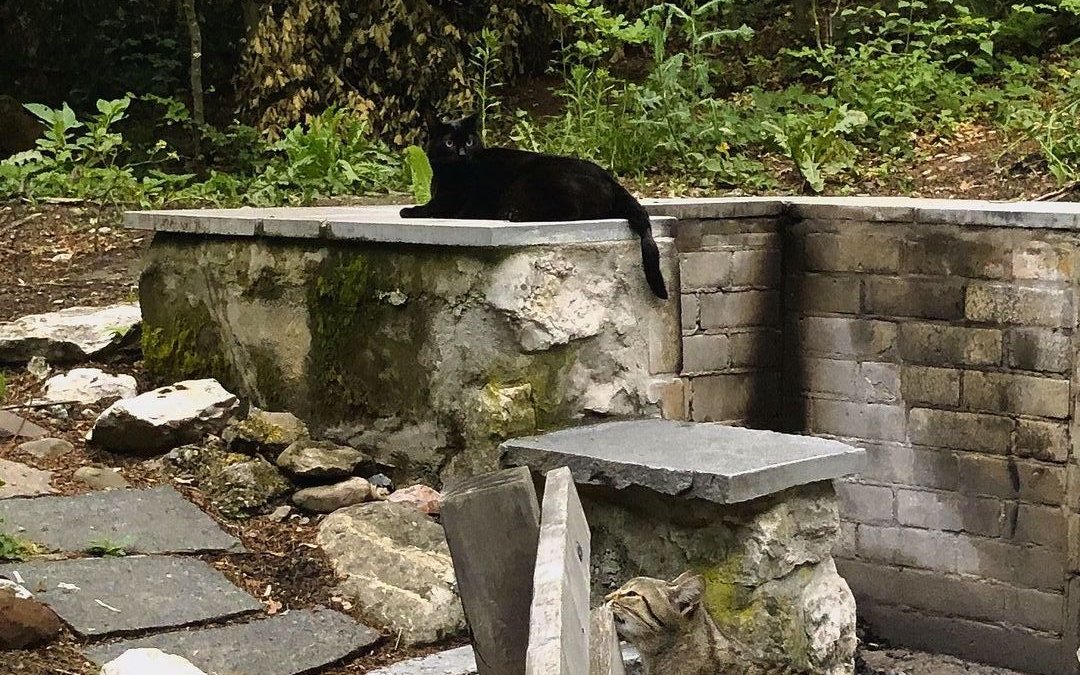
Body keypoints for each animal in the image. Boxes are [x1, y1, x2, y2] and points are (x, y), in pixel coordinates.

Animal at [399, 114, 665, 298]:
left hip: (535, 179)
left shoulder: (449, 203)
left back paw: (514, 215)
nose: (463, 152)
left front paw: (408, 211)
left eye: (470, 140)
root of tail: (611, 179)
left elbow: (428, 208)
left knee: (571, 212)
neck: (447, 175)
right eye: (450, 143)